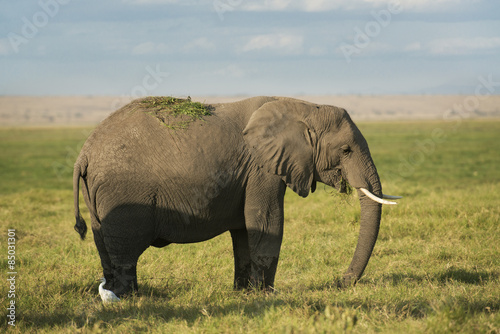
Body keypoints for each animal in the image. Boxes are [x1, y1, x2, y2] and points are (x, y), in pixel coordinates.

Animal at [72, 95, 400, 298]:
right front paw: (267, 295)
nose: (341, 281)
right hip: (121, 193)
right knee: (126, 250)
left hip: (96, 194)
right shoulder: (262, 168)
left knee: (104, 244)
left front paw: (244, 293)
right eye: (345, 150)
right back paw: (129, 297)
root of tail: (83, 154)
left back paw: (116, 293)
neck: (303, 106)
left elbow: (245, 229)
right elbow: (267, 221)